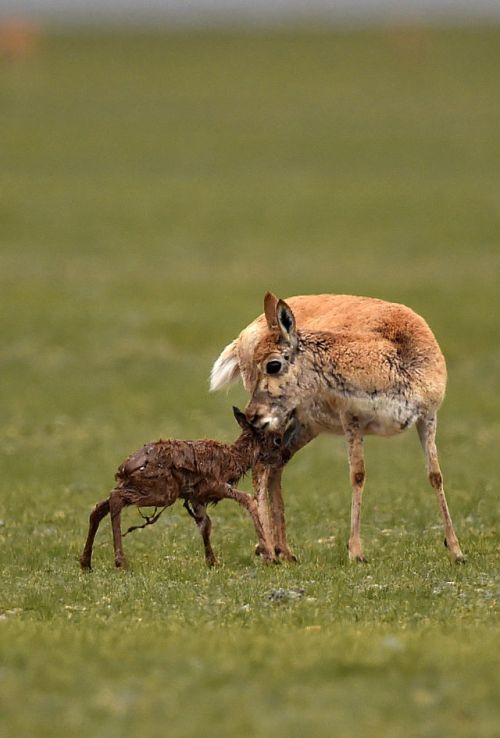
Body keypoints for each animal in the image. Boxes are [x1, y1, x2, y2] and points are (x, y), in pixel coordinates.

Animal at [79, 406, 290, 568]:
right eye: (277, 440)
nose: (283, 458)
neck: (233, 459)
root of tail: (124, 468)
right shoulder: (213, 485)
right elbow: (248, 499)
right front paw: (270, 556)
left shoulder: (196, 497)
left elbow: (205, 525)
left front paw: (212, 562)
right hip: (162, 491)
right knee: (115, 498)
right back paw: (120, 562)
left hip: (143, 487)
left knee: (99, 507)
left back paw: (86, 563)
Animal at [210, 290, 464, 560]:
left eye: (273, 364)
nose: (251, 415)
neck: (395, 352)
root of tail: (244, 334)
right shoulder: (351, 419)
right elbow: (358, 474)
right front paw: (356, 551)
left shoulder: (428, 417)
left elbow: (435, 475)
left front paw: (456, 550)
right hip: (283, 421)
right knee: (261, 468)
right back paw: (267, 549)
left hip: (305, 426)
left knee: (275, 465)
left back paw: (284, 551)